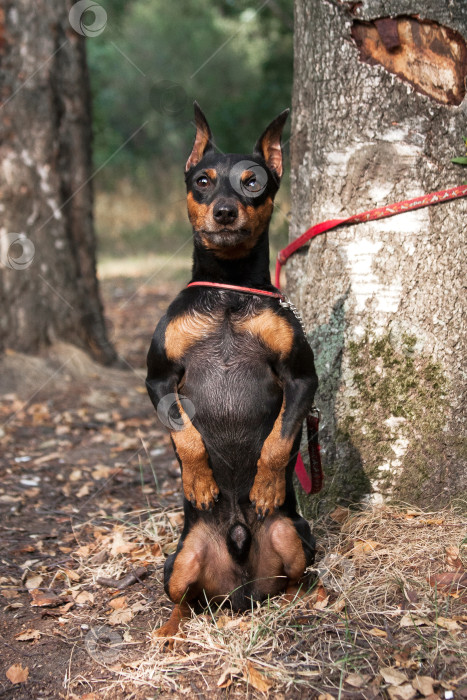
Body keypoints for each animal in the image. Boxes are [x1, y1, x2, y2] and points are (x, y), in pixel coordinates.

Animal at [148, 102, 320, 640]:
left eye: (252, 182)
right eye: (202, 181)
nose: (225, 211)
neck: (227, 289)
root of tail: (240, 592)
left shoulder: (301, 378)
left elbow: (280, 439)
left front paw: (265, 485)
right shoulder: (158, 379)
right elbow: (185, 434)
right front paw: (200, 482)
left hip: (293, 534)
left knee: (292, 581)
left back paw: (306, 602)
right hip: (181, 559)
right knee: (184, 599)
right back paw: (168, 635)